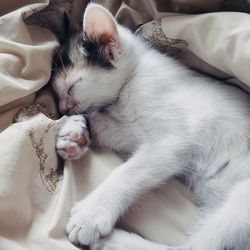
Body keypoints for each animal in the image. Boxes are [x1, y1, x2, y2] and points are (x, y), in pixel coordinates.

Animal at [51, 3, 250, 250]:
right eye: (57, 95)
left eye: (71, 88)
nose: (62, 110)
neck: (133, 77)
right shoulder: (129, 132)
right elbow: (102, 125)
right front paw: (73, 134)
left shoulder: (171, 141)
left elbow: (129, 171)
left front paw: (91, 214)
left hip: (244, 201)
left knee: (197, 246)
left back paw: (112, 240)